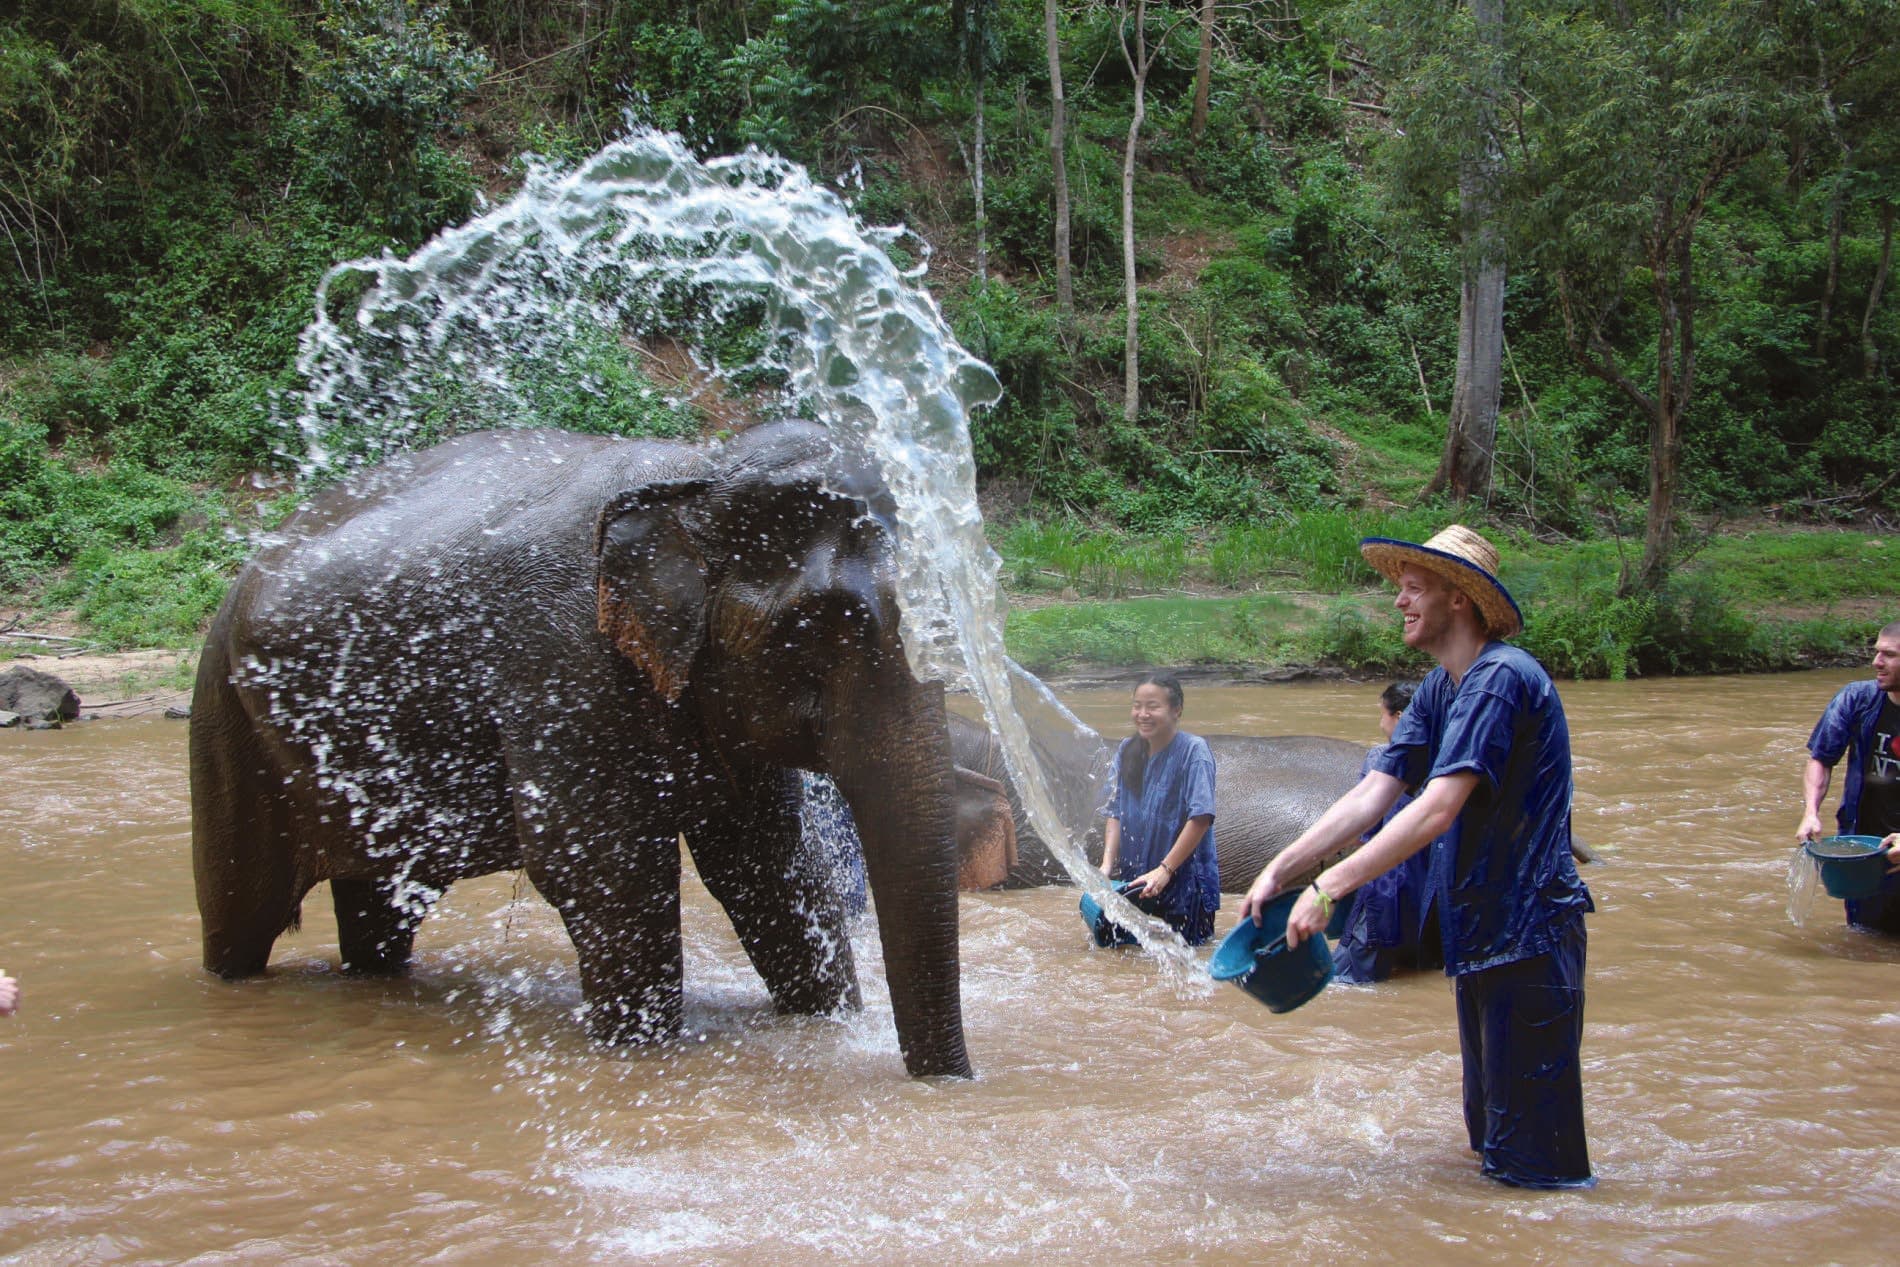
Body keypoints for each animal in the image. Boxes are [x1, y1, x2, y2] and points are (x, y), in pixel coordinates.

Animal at [190, 421, 971, 1078]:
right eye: (818, 625)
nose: (950, 1084)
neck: (697, 472)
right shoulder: (557, 665)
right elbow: (602, 865)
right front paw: (642, 1054)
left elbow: (768, 863)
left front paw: (825, 1021)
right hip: (228, 722)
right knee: (241, 910)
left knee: (381, 906)